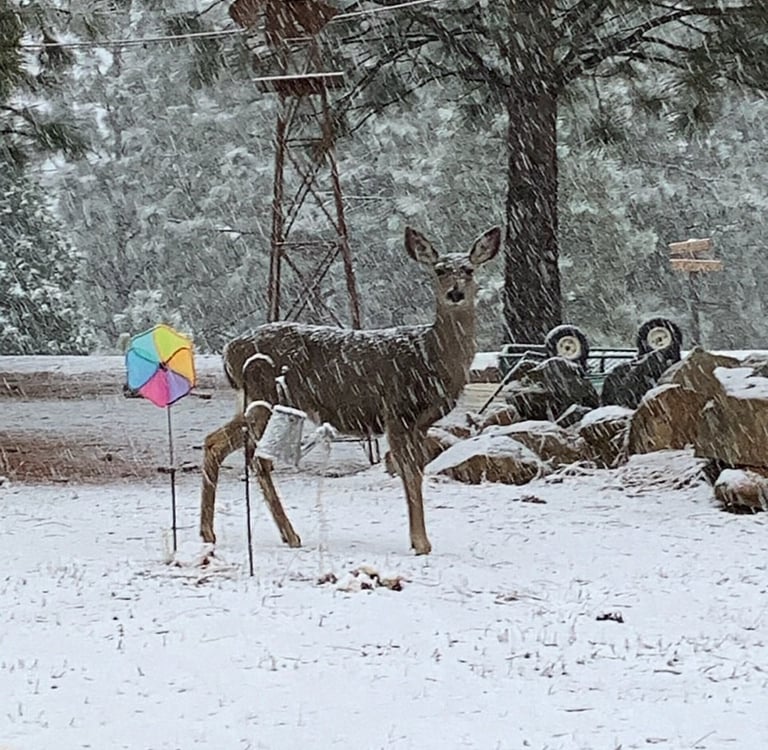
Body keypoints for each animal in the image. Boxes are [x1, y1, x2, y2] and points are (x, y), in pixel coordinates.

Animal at [199, 224, 501, 555]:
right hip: (267, 396)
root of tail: (229, 351)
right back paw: (289, 535)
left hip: (254, 401)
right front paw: (421, 543)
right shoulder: (397, 411)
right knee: (258, 458)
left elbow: (417, 471)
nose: (455, 293)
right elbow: (409, 473)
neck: (429, 354)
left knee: (215, 442)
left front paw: (419, 540)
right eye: (439, 270)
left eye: (468, 269)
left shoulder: (420, 423)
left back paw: (209, 533)